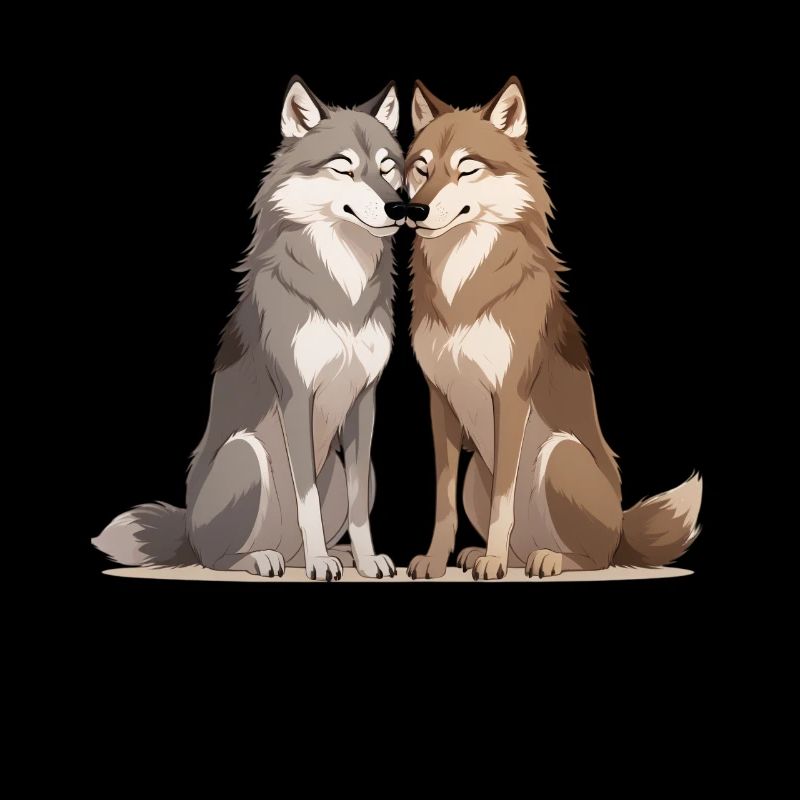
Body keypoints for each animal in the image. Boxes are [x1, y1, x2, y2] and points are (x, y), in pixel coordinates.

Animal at [94, 76, 406, 580]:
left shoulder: (364, 400)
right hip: (247, 453)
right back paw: (265, 558)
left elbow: (360, 508)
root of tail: (187, 531)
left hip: (340, 466)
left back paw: (327, 555)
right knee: (217, 558)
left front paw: (364, 559)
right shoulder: (296, 395)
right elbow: (305, 500)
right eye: (344, 168)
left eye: (388, 168)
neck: (344, 285)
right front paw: (319, 562)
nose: (400, 207)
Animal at [404, 77, 702, 580]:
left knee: (595, 559)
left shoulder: (510, 395)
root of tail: (622, 531)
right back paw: (484, 554)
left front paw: (493, 563)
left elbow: (504, 503)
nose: (414, 209)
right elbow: (442, 502)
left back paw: (545, 559)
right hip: (475, 473)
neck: (462, 283)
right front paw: (436, 559)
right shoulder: (439, 398)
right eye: (421, 169)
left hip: (559, 453)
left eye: (466, 169)